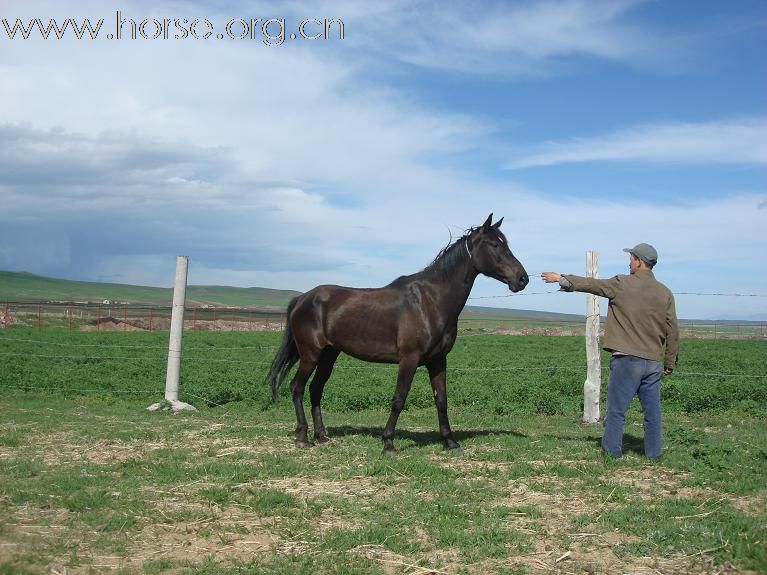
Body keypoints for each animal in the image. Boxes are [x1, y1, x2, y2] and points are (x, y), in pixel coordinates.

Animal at [268, 214, 528, 452]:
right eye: (495, 245)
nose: (522, 278)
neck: (431, 301)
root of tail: (302, 298)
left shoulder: (438, 360)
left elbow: (441, 400)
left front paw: (450, 442)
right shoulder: (409, 359)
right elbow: (399, 399)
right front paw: (388, 443)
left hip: (329, 355)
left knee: (315, 389)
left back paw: (321, 435)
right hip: (310, 354)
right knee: (297, 387)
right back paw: (303, 437)